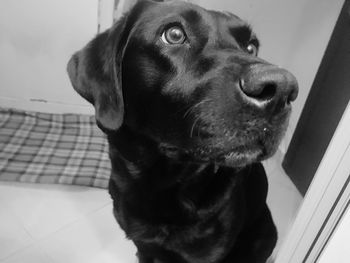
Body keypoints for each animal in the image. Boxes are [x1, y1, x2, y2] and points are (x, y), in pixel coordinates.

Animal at [67, 1, 298, 262]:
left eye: (251, 47)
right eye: (174, 34)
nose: (282, 90)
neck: (161, 182)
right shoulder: (143, 247)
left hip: (265, 234)